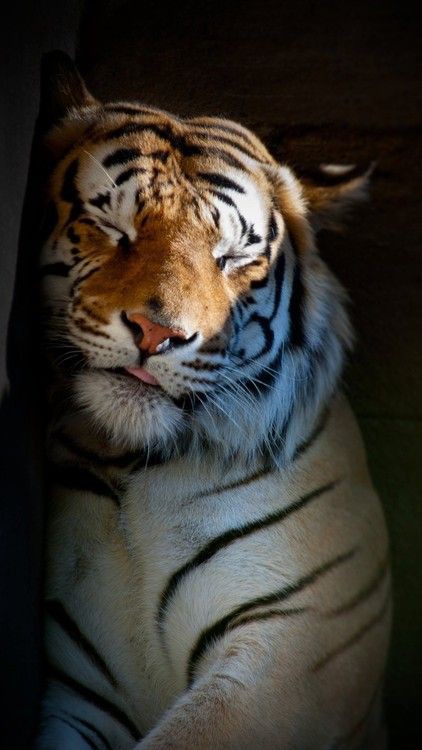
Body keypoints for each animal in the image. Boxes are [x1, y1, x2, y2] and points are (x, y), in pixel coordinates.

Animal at [35, 51, 391, 749]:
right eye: (112, 226)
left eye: (232, 257)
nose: (157, 332)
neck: (135, 470)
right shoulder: (74, 688)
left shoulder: (288, 652)